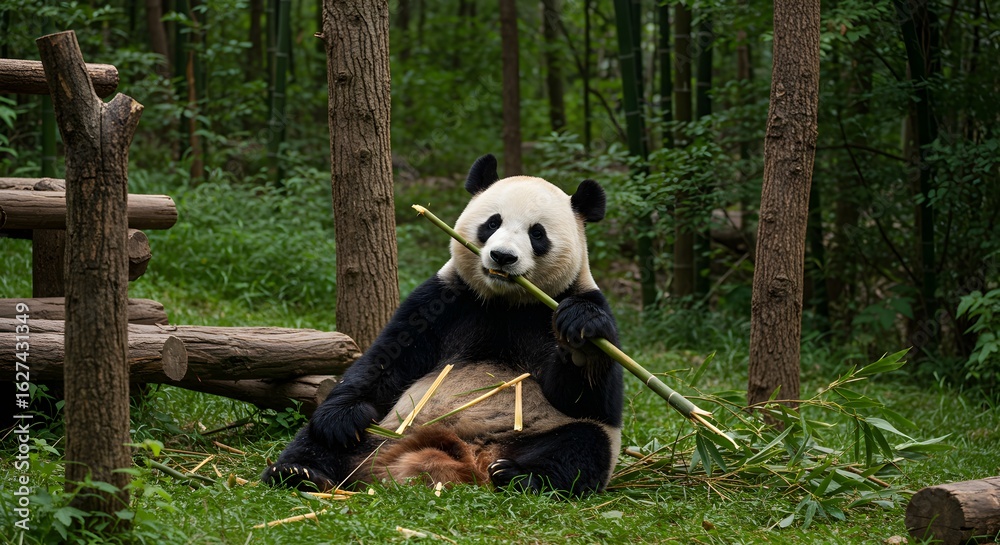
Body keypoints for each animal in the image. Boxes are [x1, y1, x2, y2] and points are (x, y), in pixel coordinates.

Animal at [262, 154, 623, 497]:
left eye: (537, 233)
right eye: (492, 223)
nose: (502, 257)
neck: (506, 302)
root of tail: (464, 454)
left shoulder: (565, 301)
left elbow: (587, 400)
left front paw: (580, 338)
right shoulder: (443, 300)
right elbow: (386, 360)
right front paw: (341, 420)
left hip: (539, 433)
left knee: (581, 444)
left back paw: (518, 477)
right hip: (386, 431)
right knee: (319, 439)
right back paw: (299, 472)